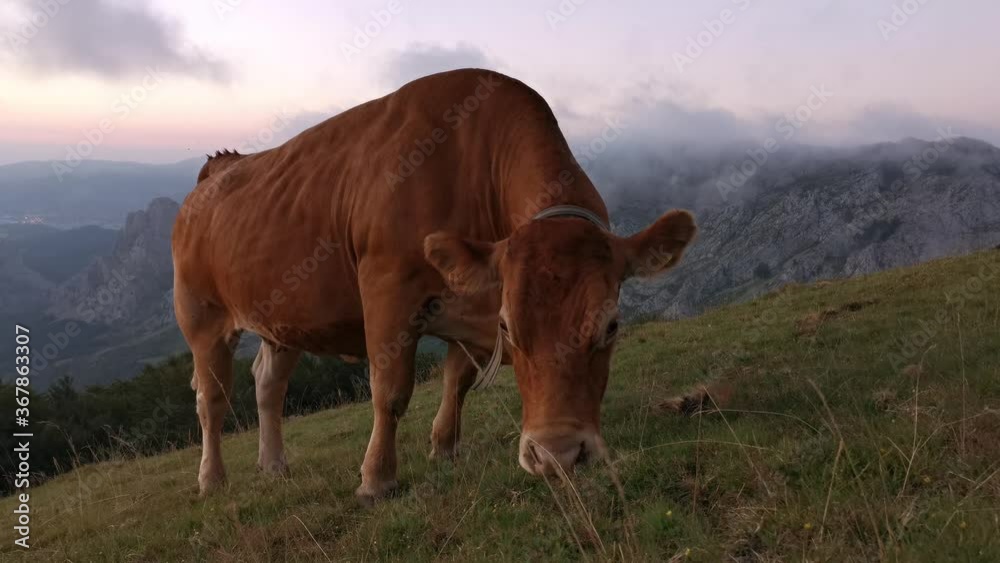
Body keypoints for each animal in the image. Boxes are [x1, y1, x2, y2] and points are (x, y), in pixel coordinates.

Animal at [172, 68, 696, 504]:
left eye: (611, 326)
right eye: (511, 328)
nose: (558, 455)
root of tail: (217, 171)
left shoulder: (469, 296)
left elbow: (456, 380)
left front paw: (443, 449)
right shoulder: (388, 289)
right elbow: (391, 390)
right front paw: (376, 479)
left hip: (282, 319)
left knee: (268, 384)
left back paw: (274, 465)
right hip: (201, 316)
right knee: (211, 400)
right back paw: (211, 480)